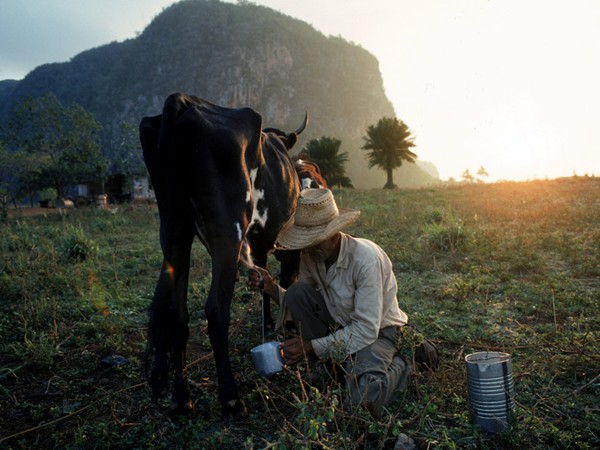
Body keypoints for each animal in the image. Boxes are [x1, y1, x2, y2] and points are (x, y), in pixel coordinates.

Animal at [139, 93, 304, 420]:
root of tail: (181, 102)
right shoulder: (284, 244)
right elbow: (285, 280)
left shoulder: (259, 246)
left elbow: (264, 283)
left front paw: (267, 322)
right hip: (228, 230)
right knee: (216, 309)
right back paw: (230, 398)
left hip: (175, 229)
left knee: (176, 310)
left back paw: (181, 399)